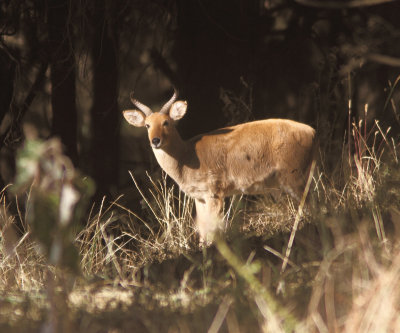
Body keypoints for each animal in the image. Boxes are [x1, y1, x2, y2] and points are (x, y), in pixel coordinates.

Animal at [123, 88, 318, 243]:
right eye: (147, 125)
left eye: (166, 122)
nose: (155, 141)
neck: (186, 159)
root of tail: (312, 131)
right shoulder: (199, 197)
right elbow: (203, 234)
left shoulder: (215, 192)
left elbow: (212, 232)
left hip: (295, 177)